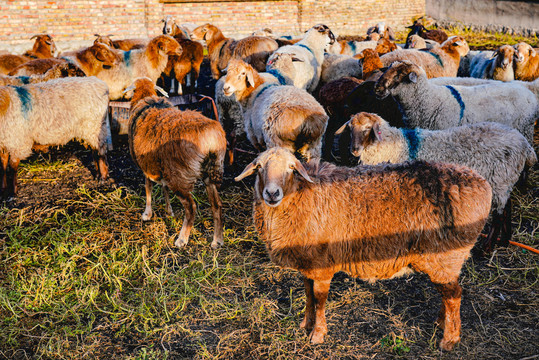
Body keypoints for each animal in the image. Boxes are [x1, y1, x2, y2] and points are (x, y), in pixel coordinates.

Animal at [127, 77, 228, 249]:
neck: (147, 100)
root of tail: (211, 139)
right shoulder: (161, 165)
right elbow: (164, 187)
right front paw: (169, 212)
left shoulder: (146, 164)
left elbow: (148, 187)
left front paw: (147, 214)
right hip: (209, 170)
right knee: (216, 205)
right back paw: (217, 240)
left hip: (180, 175)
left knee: (191, 207)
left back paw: (182, 239)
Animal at [236, 146, 494, 352]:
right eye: (259, 167)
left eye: (291, 168)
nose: (272, 193)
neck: (302, 194)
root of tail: (482, 184)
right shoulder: (307, 263)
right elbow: (308, 294)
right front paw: (305, 325)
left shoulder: (322, 264)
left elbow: (319, 299)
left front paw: (318, 334)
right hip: (444, 262)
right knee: (448, 294)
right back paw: (441, 324)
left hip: (447, 256)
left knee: (454, 296)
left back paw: (449, 339)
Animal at [338, 112, 536, 250]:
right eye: (350, 129)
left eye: (367, 129)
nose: (353, 149)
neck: (393, 144)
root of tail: (525, 145)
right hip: (506, 179)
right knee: (508, 206)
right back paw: (504, 241)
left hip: (500, 179)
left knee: (499, 214)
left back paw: (487, 246)